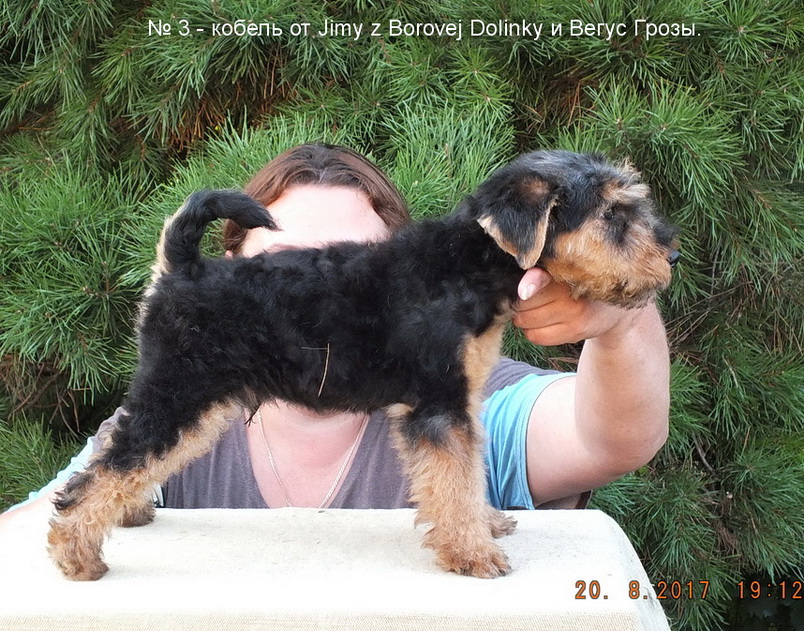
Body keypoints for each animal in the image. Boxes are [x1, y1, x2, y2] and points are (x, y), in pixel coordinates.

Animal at [47, 150, 679, 581]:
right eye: (614, 215)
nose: (671, 253)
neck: (468, 264)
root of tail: (182, 269)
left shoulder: (458, 404)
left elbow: (466, 473)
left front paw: (485, 522)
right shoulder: (439, 405)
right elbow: (454, 477)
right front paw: (474, 553)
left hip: (192, 398)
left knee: (121, 460)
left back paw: (127, 516)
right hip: (180, 391)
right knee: (103, 470)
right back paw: (77, 555)